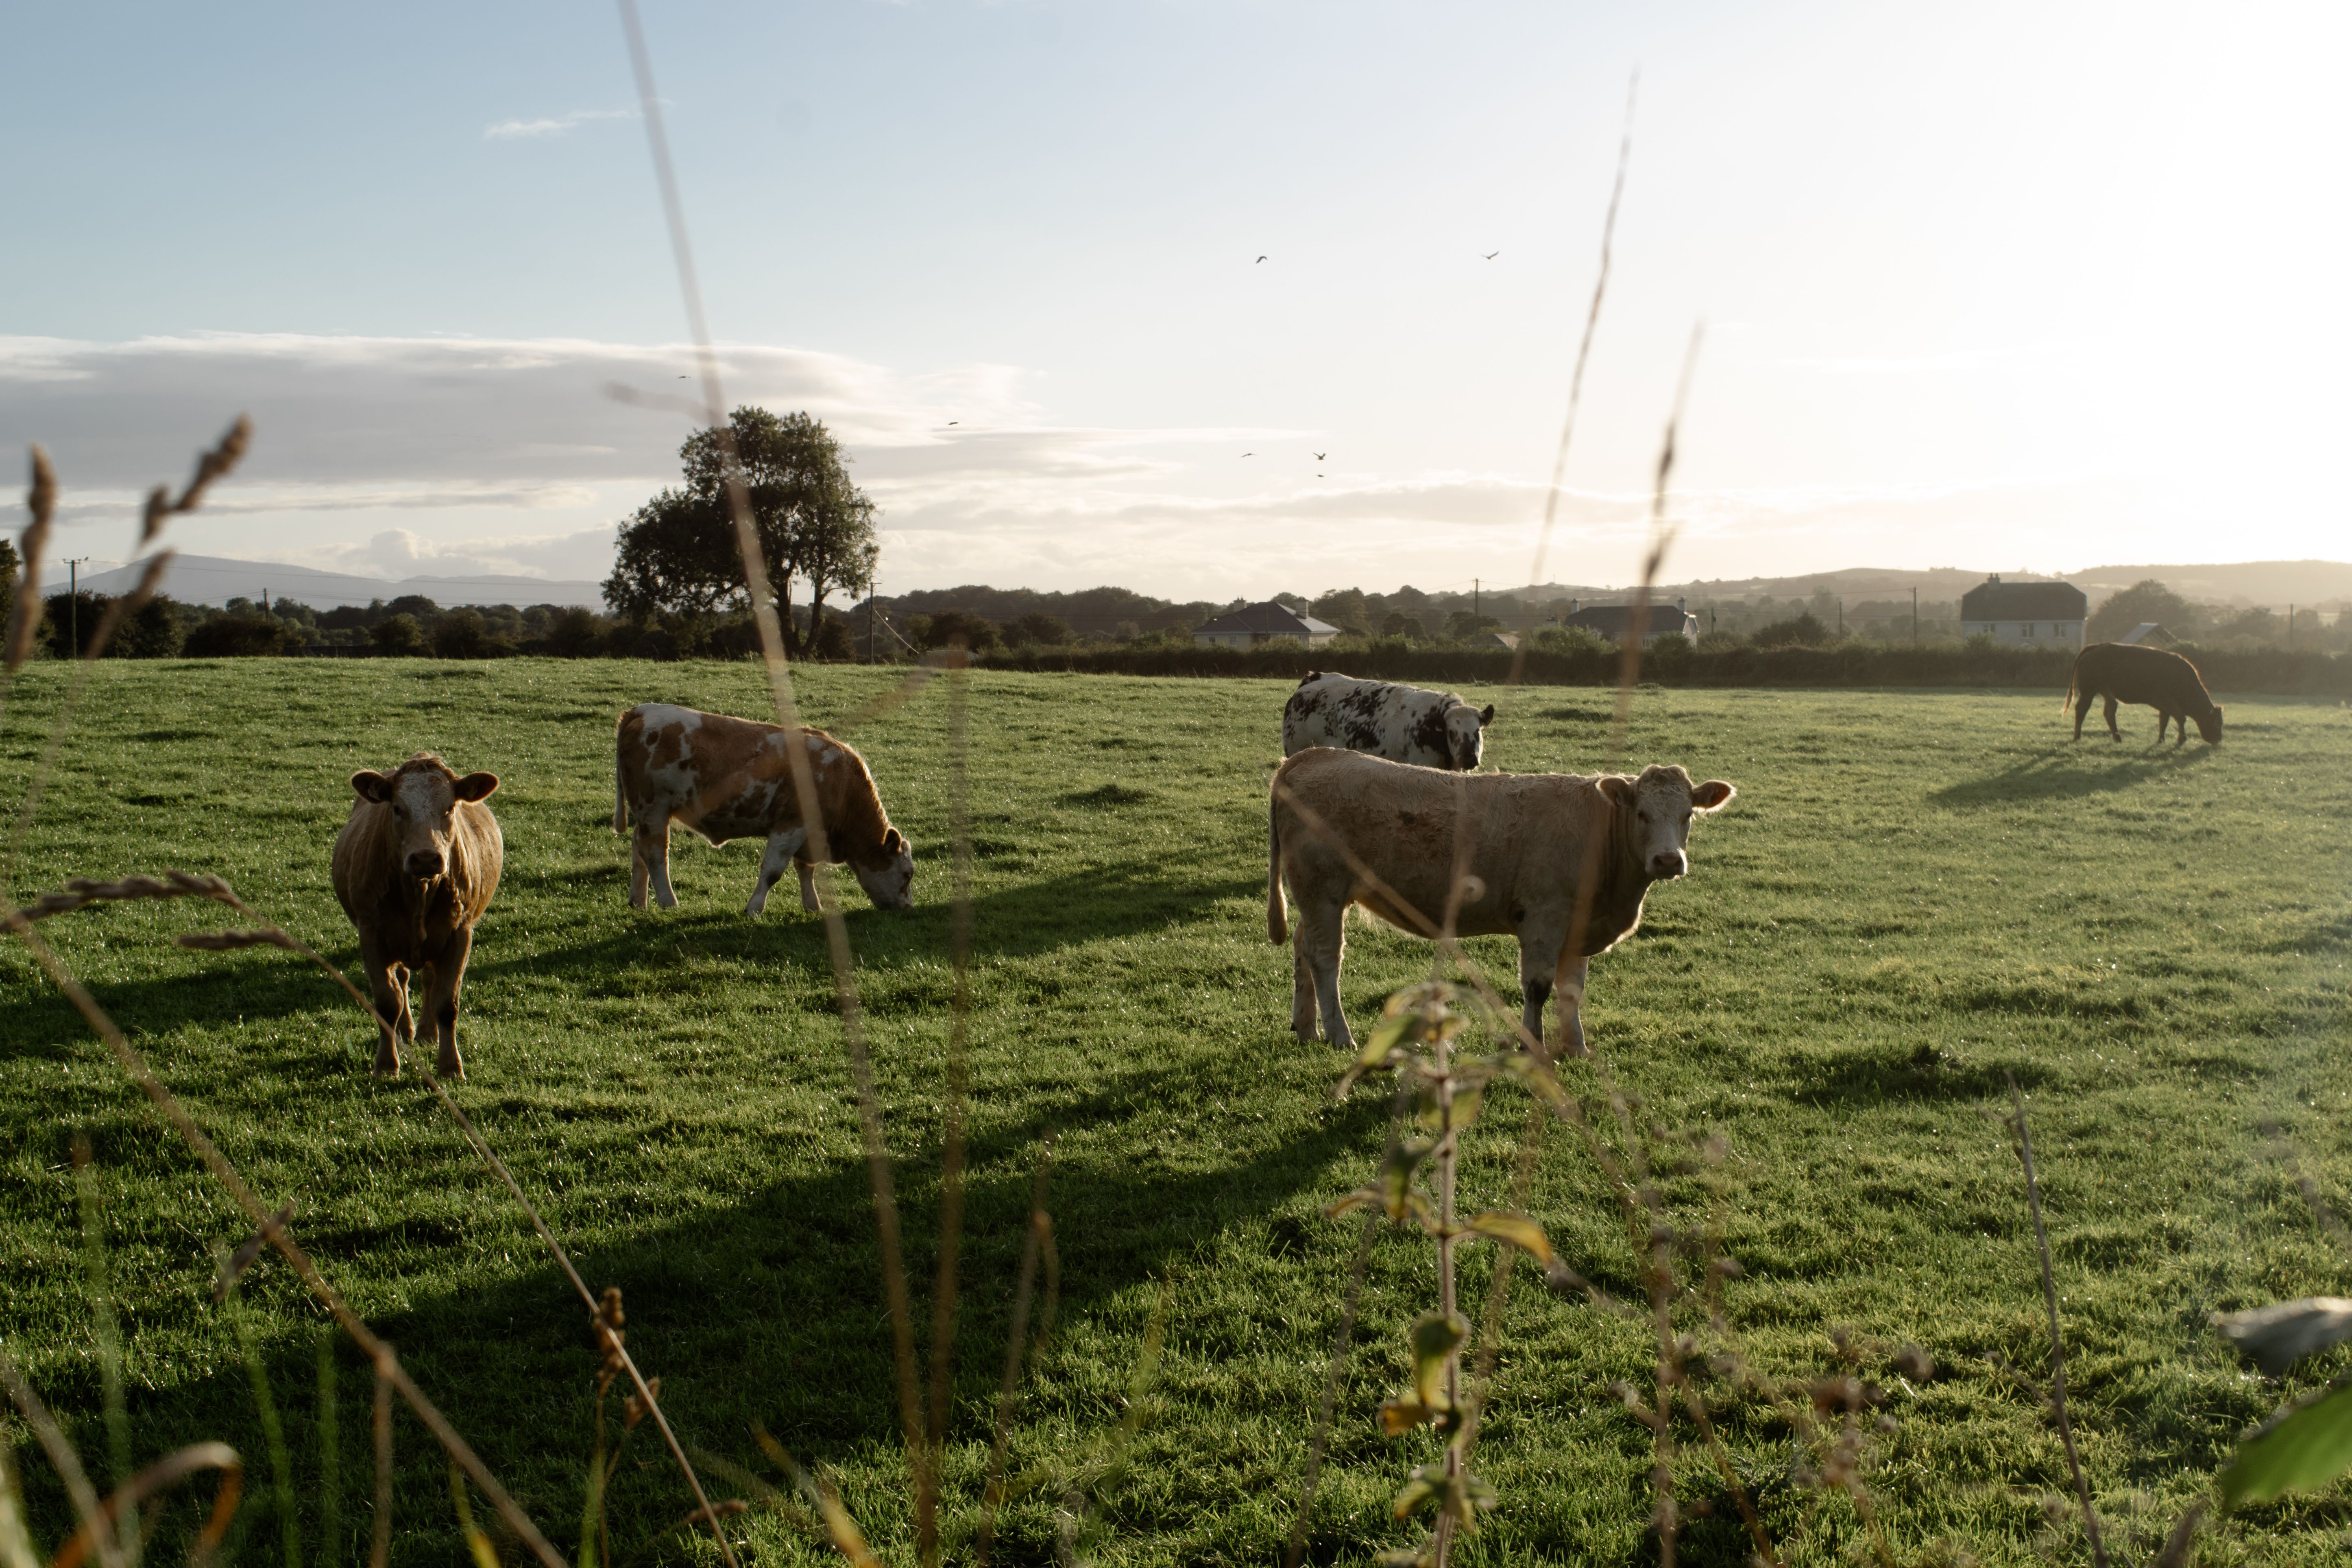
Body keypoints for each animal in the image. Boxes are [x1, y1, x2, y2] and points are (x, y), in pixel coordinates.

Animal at [330, 753, 503, 1079]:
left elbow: (446, 1003)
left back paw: (426, 1033)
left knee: (429, 982)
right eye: (398, 808)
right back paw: (406, 1031)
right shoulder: (371, 933)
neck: (419, 892)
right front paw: (387, 1064)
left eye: (450, 808)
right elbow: (388, 1003)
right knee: (403, 980)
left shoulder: (460, 934)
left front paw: (450, 1066)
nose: (425, 857)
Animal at [614, 703, 915, 915]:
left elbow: (805, 869)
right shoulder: (791, 824)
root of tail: (640, 711)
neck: (841, 782)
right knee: (655, 854)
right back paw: (668, 901)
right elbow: (772, 871)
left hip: (647, 814)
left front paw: (813, 906)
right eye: (908, 874)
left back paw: (638, 900)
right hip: (654, 808)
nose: (909, 908)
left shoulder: (809, 834)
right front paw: (755, 908)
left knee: (638, 848)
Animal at [1267, 747, 1734, 1052]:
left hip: (1317, 898)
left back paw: (1306, 1027)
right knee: (1325, 958)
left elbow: (1572, 990)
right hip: (1323, 891)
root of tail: (1310, 756)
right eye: (1641, 814)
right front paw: (1532, 1045)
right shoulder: (1544, 917)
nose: (1667, 859)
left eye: (1687, 815)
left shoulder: (1579, 927)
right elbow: (1538, 987)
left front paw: (1576, 1047)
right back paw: (1339, 1034)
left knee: (1303, 948)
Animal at [2065, 642, 2223, 746]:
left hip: (2108, 694)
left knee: (2109, 713)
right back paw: (2077, 737)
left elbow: (2163, 722)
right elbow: (2180, 718)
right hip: (2088, 692)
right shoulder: (2164, 701)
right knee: (2081, 710)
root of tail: (2096, 646)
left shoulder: (2164, 706)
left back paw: (2118, 738)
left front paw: (2161, 740)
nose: (2218, 740)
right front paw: (2181, 740)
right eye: (2216, 723)